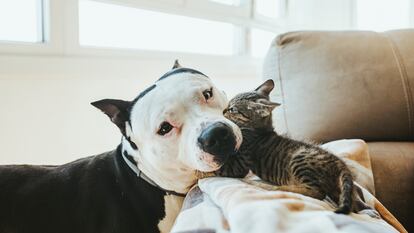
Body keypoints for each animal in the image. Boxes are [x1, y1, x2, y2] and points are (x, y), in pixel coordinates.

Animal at [215, 79, 368, 214]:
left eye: (233, 109)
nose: (223, 111)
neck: (260, 130)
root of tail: (341, 164)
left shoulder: (240, 164)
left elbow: (221, 168)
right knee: (352, 203)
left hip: (300, 159)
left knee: (317, 193)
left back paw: (272, 187)